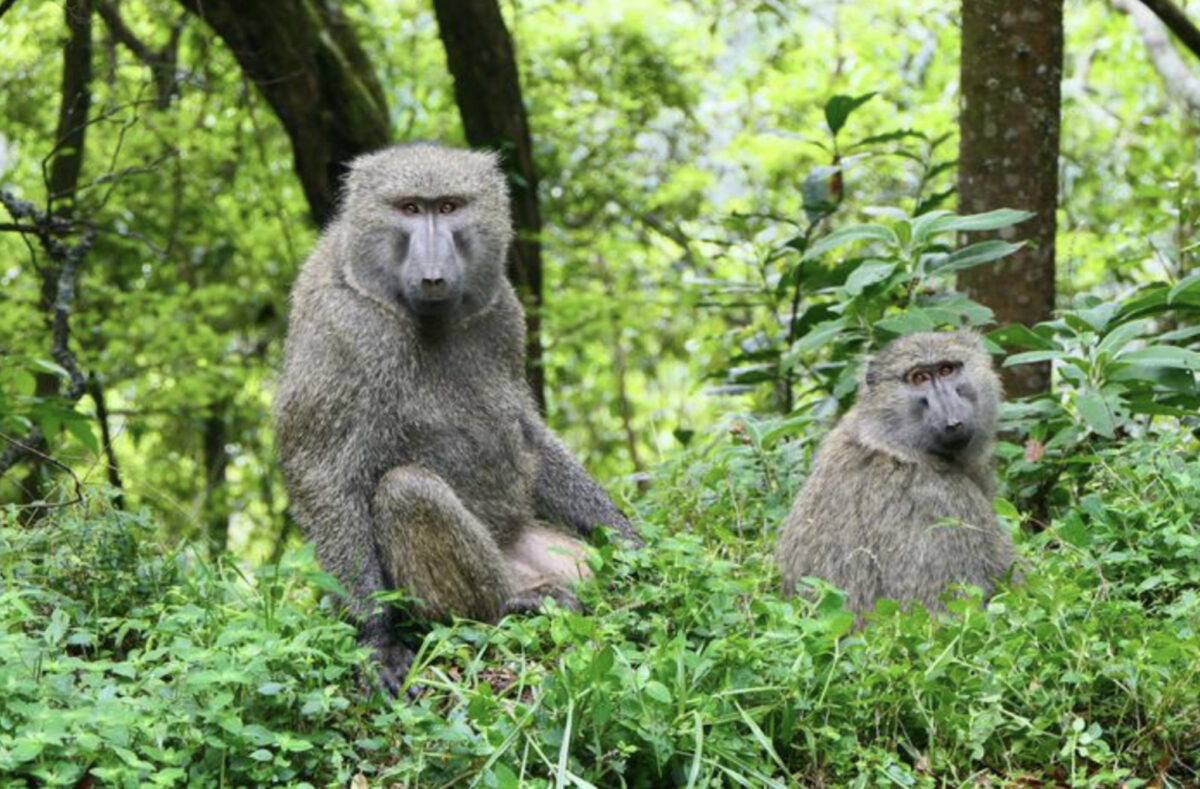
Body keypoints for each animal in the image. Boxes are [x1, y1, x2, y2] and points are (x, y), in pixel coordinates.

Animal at [273, 143, 639, 694]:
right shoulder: (344, 328)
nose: (432, 274)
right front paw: (377, 639)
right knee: (406, 491)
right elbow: (323, 473)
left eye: (448, 207)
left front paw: (632, 541)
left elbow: (526, 435)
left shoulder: (505, 313)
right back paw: (508, 607)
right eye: (409, 208)